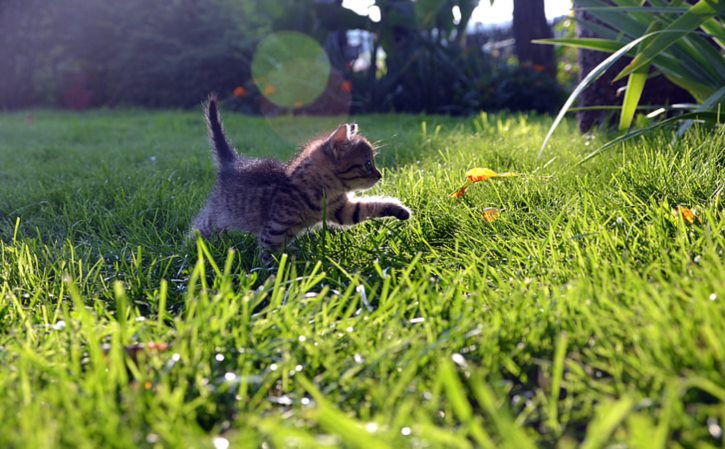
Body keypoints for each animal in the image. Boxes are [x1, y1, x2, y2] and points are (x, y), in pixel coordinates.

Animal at [189, 94, 410, 252]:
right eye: (367, 164)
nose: (380, 175)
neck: (324, 191)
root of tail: (232, 162)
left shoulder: (342, 210)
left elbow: (369, 206)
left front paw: (400, 210)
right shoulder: (273, 232)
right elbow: (270, 259)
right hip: (218, 215)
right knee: (200, 226)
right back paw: (191, 248)